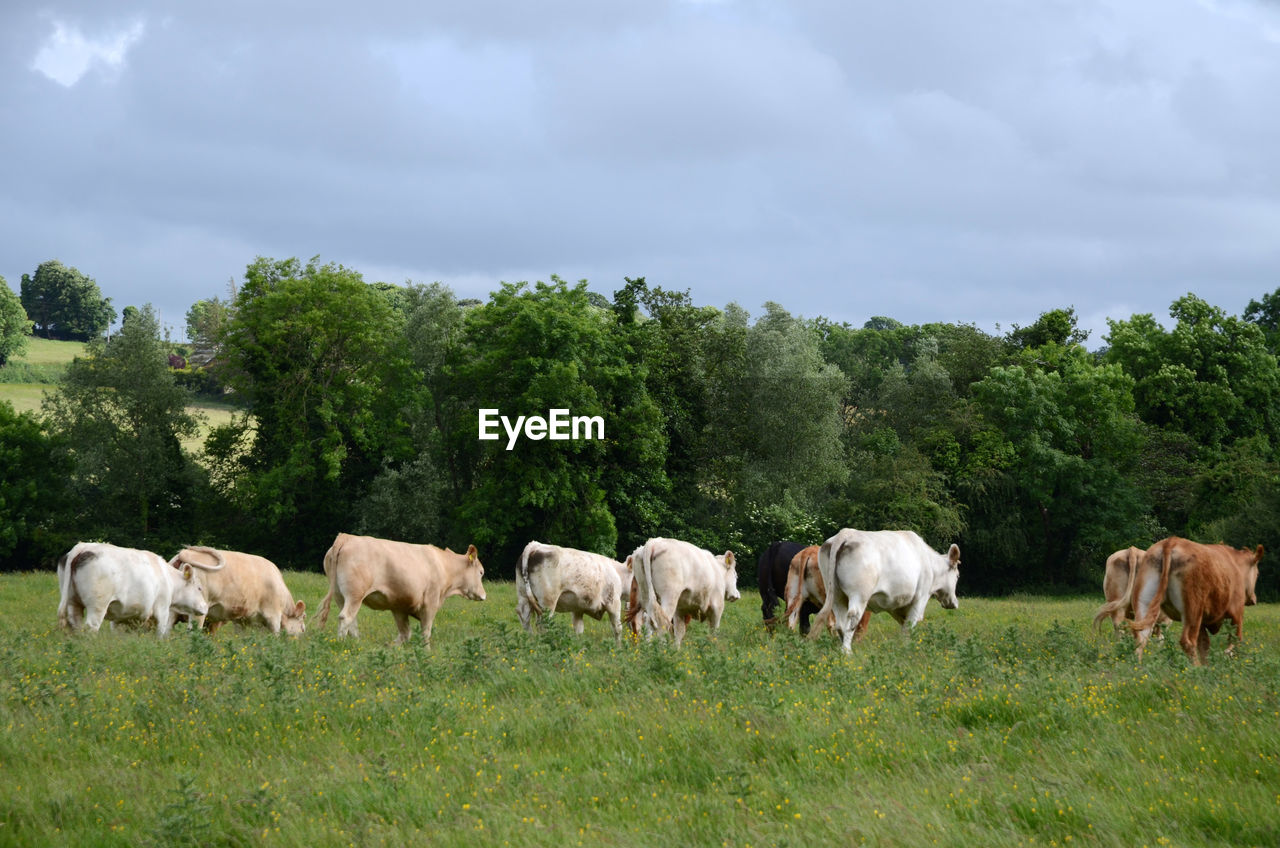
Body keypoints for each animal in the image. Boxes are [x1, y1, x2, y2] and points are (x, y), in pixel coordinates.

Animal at [56, 545, 217, 637]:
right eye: (199, 588)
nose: (205, 607)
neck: (168, 578)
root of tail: (82, 547)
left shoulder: (125, 616)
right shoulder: (162, 608)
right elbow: (160, 633)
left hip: (73, 602)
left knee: (75, 625)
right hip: (97, 606)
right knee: (91, 628)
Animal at [313, 535, 483, 648]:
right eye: (481, 572)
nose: (483, 595)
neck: (443, 566)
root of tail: (347, 537)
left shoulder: (399, 607)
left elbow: (405, 633)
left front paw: (391, 648)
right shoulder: (430, 603)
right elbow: (425, 632)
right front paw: (426, 653)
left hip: (340, 595)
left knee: (352, 622)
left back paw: (358, 645)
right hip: (355, 595)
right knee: (346, 618)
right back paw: (343, 646)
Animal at [814, 527, 957, 653]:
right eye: (957, 576)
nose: (954, 603)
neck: (930, 562)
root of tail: (846, 533)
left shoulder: (897, 603)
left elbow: (904, 625)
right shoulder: (920, 597)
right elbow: (910, 625)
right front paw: (908, 648)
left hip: (836, 595)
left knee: (840, 624)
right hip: (859, 595)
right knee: (852, 619)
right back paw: (847, 651)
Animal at [1100, 538, 1269, 671]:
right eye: (1258, 573)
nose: (1253, 599)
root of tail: (1171, 541)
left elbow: (1204, 645)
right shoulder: (1237, 614)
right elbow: (1234, 641)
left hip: (1141, 604)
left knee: (1136, 636)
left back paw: (1137, 666)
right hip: (1192, 610)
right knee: (1186, 641)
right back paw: (1197, 669)